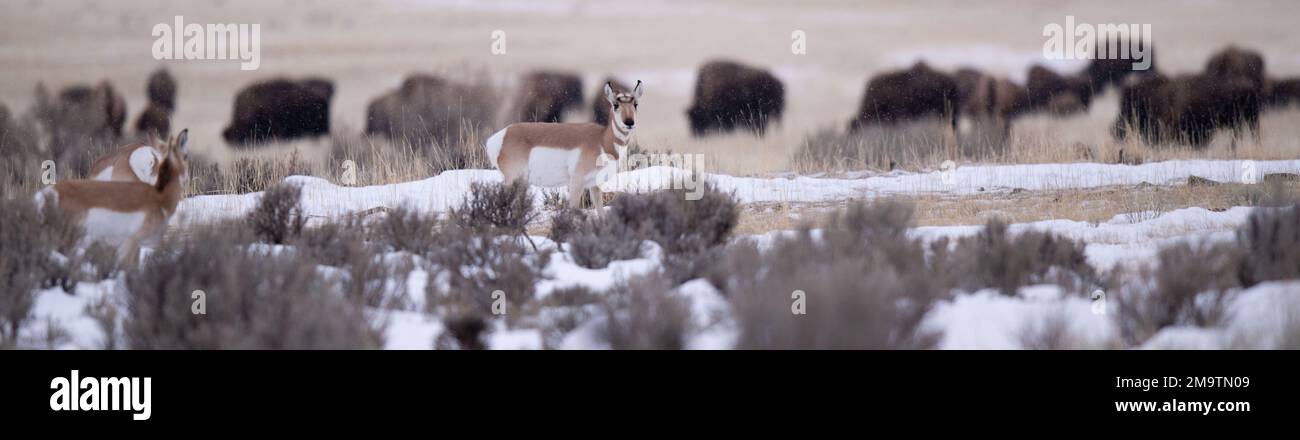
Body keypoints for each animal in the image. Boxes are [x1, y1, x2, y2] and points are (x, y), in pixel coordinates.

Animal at [486, 80, 642, 208]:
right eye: (615, 105)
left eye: (635, 104)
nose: (629, 122)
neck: (602, 140)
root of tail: (501, 135)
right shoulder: (577, 182)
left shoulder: (594, 186)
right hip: (512, 180)